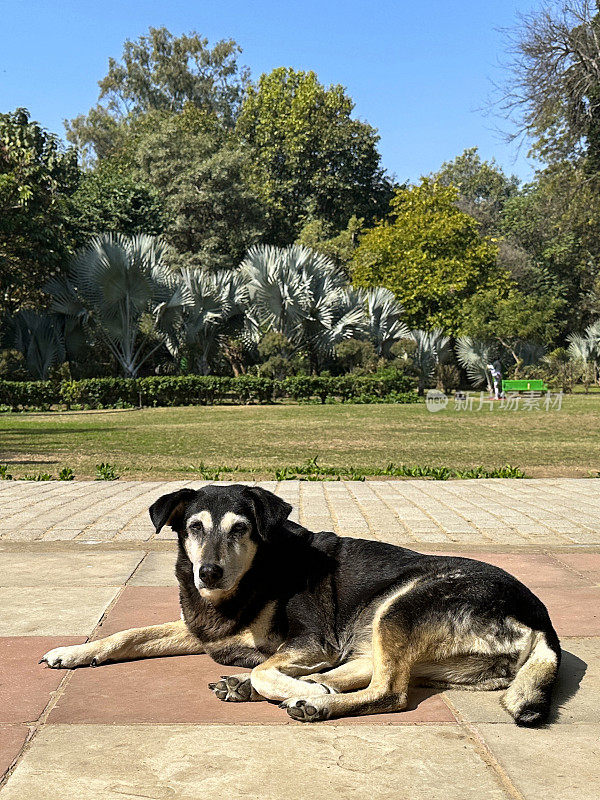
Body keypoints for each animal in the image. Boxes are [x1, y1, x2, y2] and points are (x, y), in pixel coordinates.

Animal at [42, 482, 564, 724]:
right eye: (193, 527)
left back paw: (313, 700)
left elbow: (264, 665)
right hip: (387, 631)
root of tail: (543, 622)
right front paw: (75, 651)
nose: (207, 573)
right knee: (366, 670)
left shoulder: (313, 642)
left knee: (388, 691)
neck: (253, 578)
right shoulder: (199, 629)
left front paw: (294, 688)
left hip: (400, 606)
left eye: (240, 529)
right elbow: (127, 634)